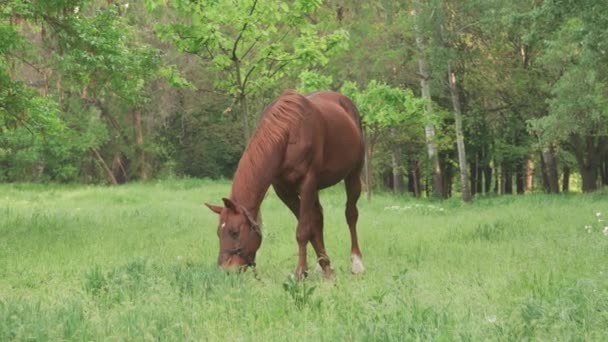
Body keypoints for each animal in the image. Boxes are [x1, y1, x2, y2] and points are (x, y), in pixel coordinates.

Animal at [204, 89, 366, 278]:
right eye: (218, 232)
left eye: (234, 232)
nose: (226, 270)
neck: (288, 133)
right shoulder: (284, 190)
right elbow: (310, 226)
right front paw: (325, 267)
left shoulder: (307, 184)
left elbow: (303, 230)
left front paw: (301, 272)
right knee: (318, 217)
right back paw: (321, 264)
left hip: (353, 174)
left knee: (351, 214)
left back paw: (356, 262)